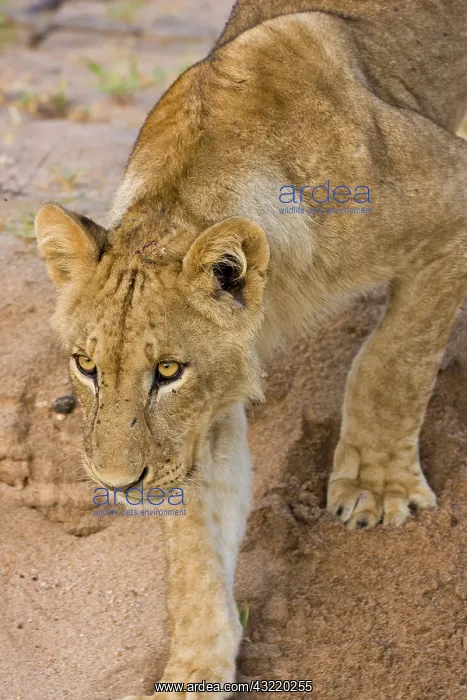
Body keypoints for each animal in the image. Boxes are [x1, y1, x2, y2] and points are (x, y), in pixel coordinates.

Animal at [35, 0, 467, 697]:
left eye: (168, 370)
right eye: (86, 366)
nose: (118, 485)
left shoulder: (452, 205)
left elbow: (391, 360)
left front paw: (377, 490)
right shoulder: (199, 423)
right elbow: (197, 544)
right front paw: (195, 669)